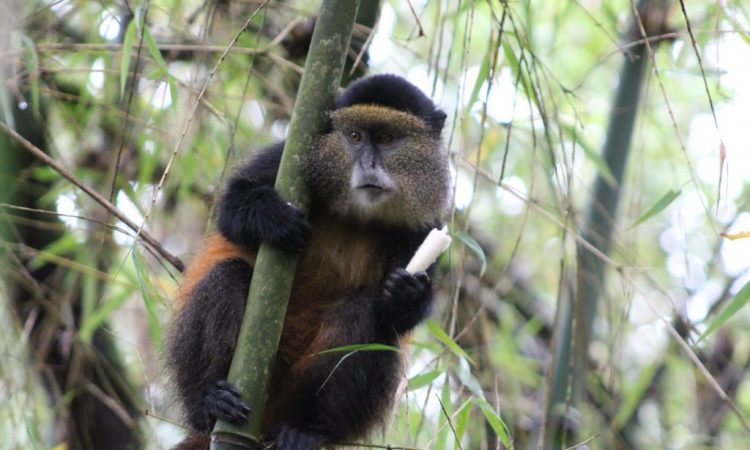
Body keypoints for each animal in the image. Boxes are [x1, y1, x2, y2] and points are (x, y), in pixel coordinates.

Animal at [166, 74, 450, 450]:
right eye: (355, 136)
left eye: (387, 138)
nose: (368, 165)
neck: (358, 215)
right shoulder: (289, 157)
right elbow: (232, 207)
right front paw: (272, 218)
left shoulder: (425, 225)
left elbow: (401, 318)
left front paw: (407, 293)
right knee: (228, 275)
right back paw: (212, 403)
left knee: (364, 313)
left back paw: (308, 429)